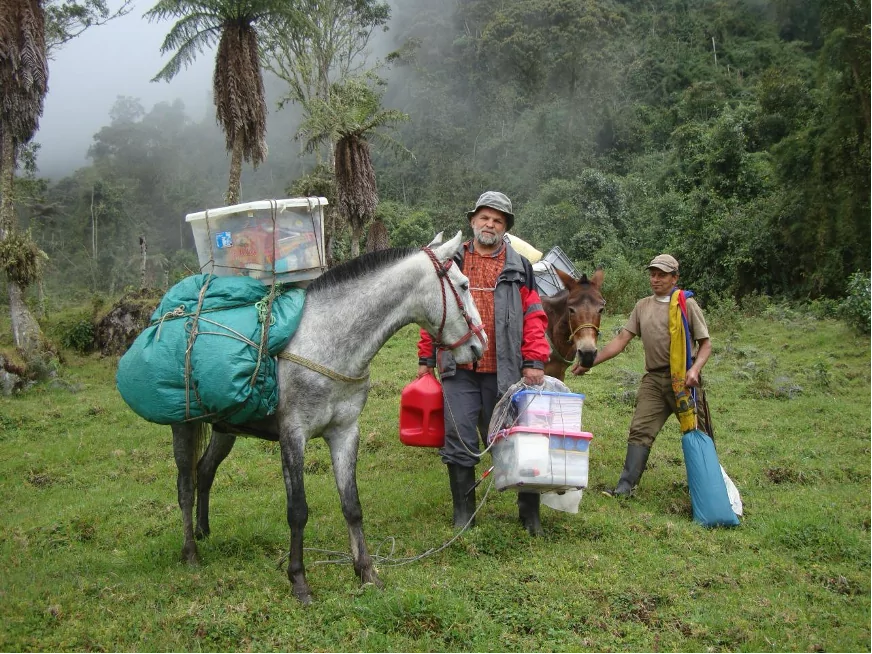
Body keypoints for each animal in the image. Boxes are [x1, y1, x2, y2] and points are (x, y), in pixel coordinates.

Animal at [170, 233, 484, 608]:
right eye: (464, 285)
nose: (480, 347)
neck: (326, 341)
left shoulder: (345, 432)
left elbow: (352, 505)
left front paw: (367, 573)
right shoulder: (293, 435)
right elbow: (298, 511)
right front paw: (299, 583)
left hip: (225, 426)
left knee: (204, 470)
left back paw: (203, 531)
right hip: (183, 424)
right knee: (185, 485)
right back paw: (190, 552)